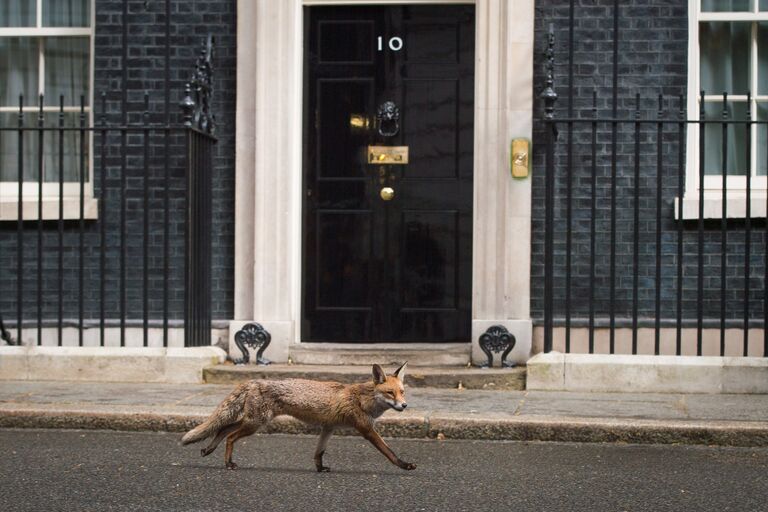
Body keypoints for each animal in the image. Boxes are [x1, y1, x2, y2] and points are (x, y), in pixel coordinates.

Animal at [180, 362, 414, 470]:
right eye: (390, 393)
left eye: (402, 392)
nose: (404, 405)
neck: (361, 399)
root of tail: (254, 381)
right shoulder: (366, 429)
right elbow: (389, 452)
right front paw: (404, 465)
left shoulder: (329, 428)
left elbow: (319, 452)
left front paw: (320, 469)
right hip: (255, 423)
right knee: (229, 436)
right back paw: (228, 463)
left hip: (251, 421)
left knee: (222, 428)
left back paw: (208, 449)